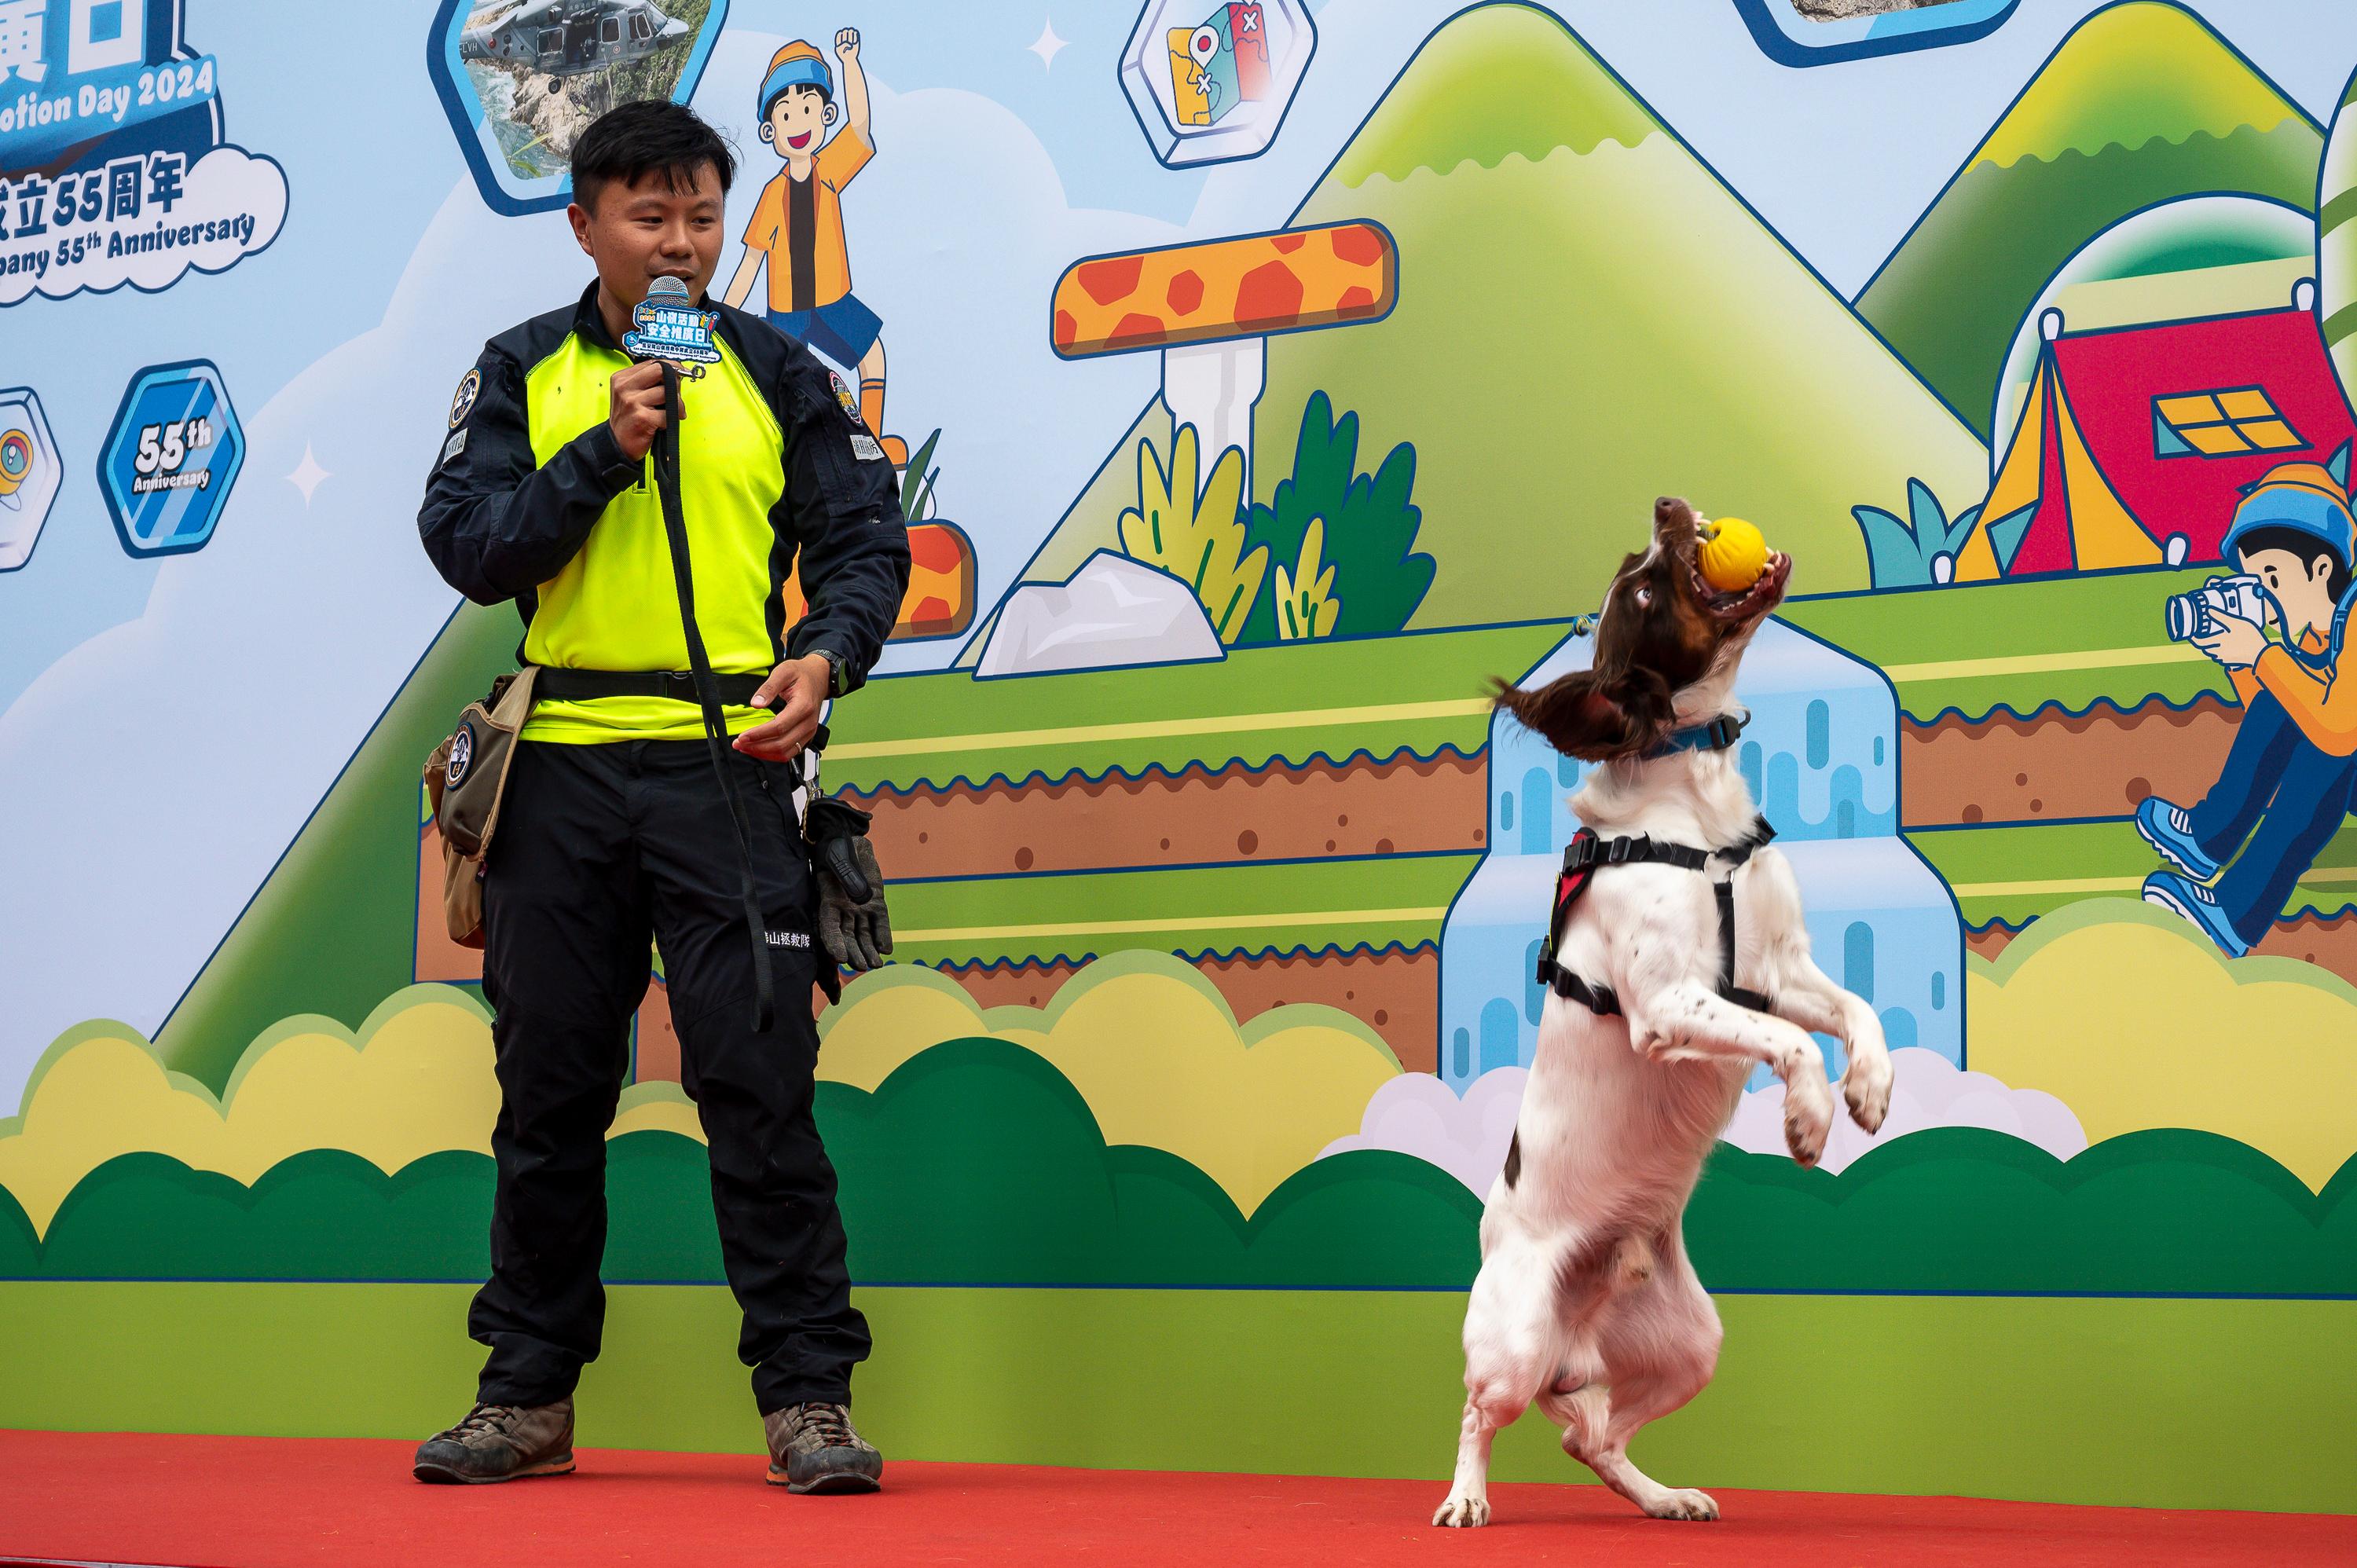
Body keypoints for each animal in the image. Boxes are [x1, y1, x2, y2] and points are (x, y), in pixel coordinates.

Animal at [1414, 497, 1895, 1527]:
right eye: (1640, 592)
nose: (1671, 507)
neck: (1695, 809)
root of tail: (1577, 1331)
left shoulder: (1781, 968)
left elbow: (1856, 1012)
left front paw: (1869, 1089)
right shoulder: (1672, 1003)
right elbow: (1791, 1042)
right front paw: (1809, 1116)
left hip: (1688, 1343)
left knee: (1588, 1433)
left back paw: (1663, 1495)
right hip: (1515, 1343)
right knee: (1484, 1414)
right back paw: (1466, 1498)